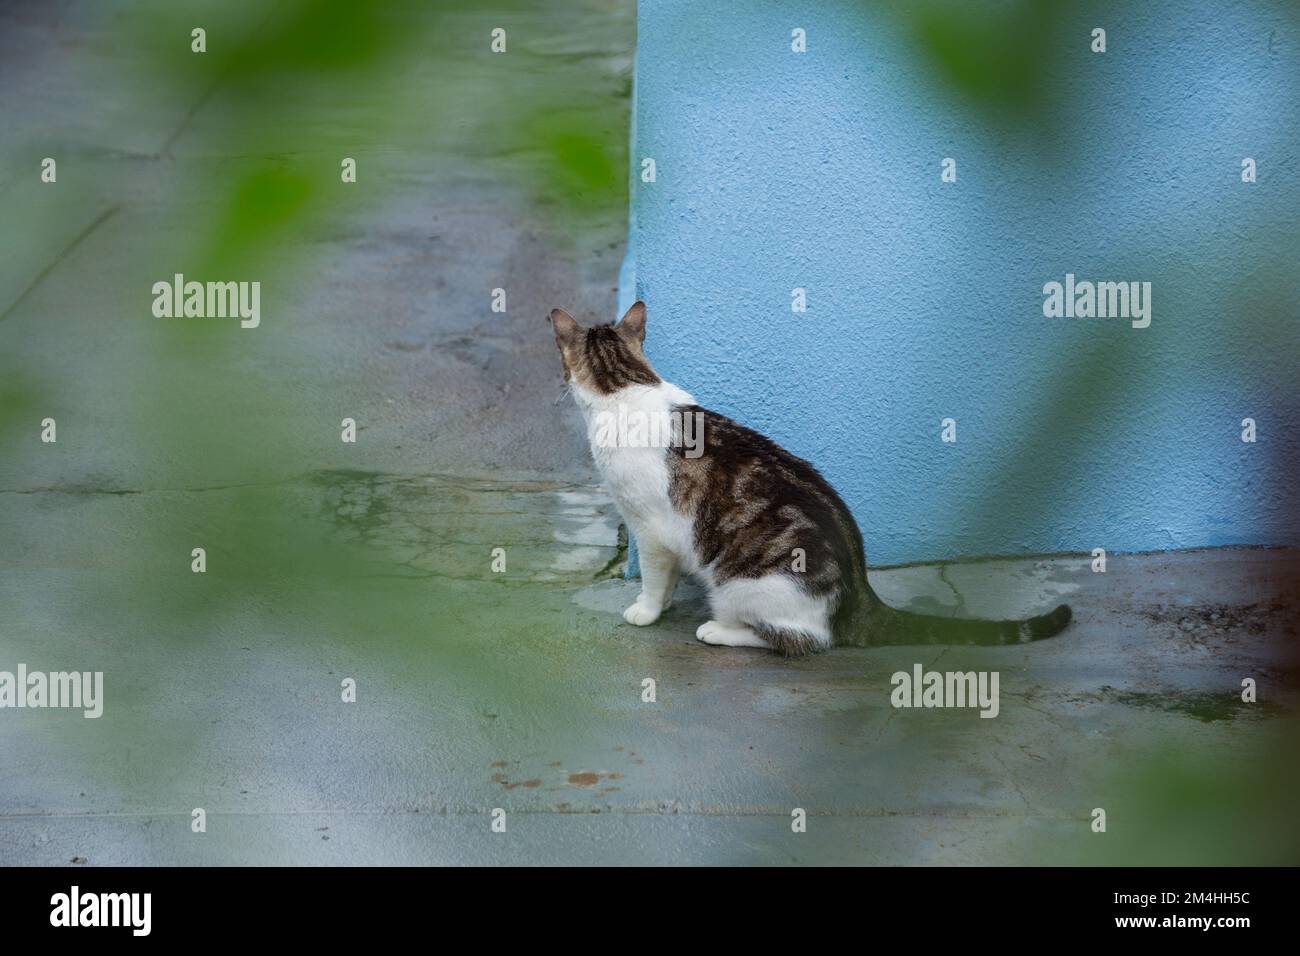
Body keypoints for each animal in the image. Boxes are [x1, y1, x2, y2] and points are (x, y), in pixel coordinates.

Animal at [548, 303, 1066, 655]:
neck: (623, 384)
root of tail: (860, 594)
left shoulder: (652, 530)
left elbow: (656, 579)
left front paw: (647, 610)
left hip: (742, 583)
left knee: (806, 639)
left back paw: (720, 630)